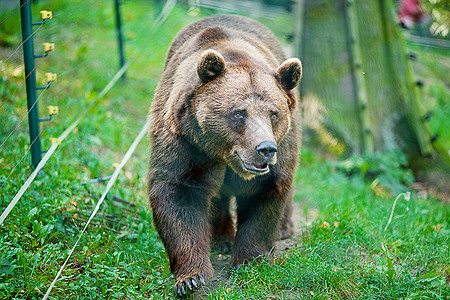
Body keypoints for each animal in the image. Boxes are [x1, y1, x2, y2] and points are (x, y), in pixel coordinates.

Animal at [148, 13, 302, 296]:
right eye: (238, 113)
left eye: (274, 114)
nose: (265, 149)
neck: (222, 153)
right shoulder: (185, 141)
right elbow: (178, 192)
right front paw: (191, 278)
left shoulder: (281, 148)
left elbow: (266, 191)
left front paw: (249, 262)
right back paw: (221, 238)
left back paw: (284, 228)